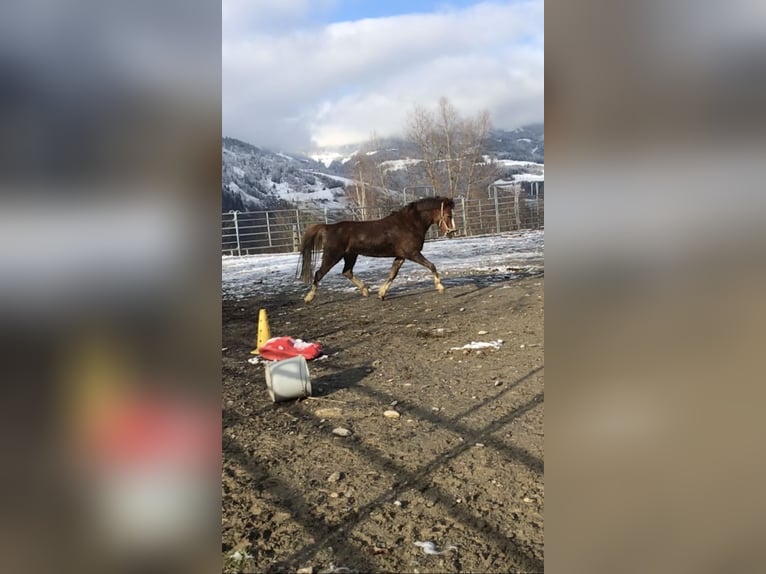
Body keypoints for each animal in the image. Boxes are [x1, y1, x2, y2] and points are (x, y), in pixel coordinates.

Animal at [298, 198, 456, 304]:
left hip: (351, 255)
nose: (452, 233)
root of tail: (328, 227)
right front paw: (440, 287)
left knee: (347, 272)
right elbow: (432, 266)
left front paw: (381, 294)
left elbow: (392, 274)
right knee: (319, 273)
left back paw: (365, 290)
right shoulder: (412, 254)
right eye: (449, 216)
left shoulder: (401, 256)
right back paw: (308, 297)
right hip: (332, 256)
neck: (409, 224)